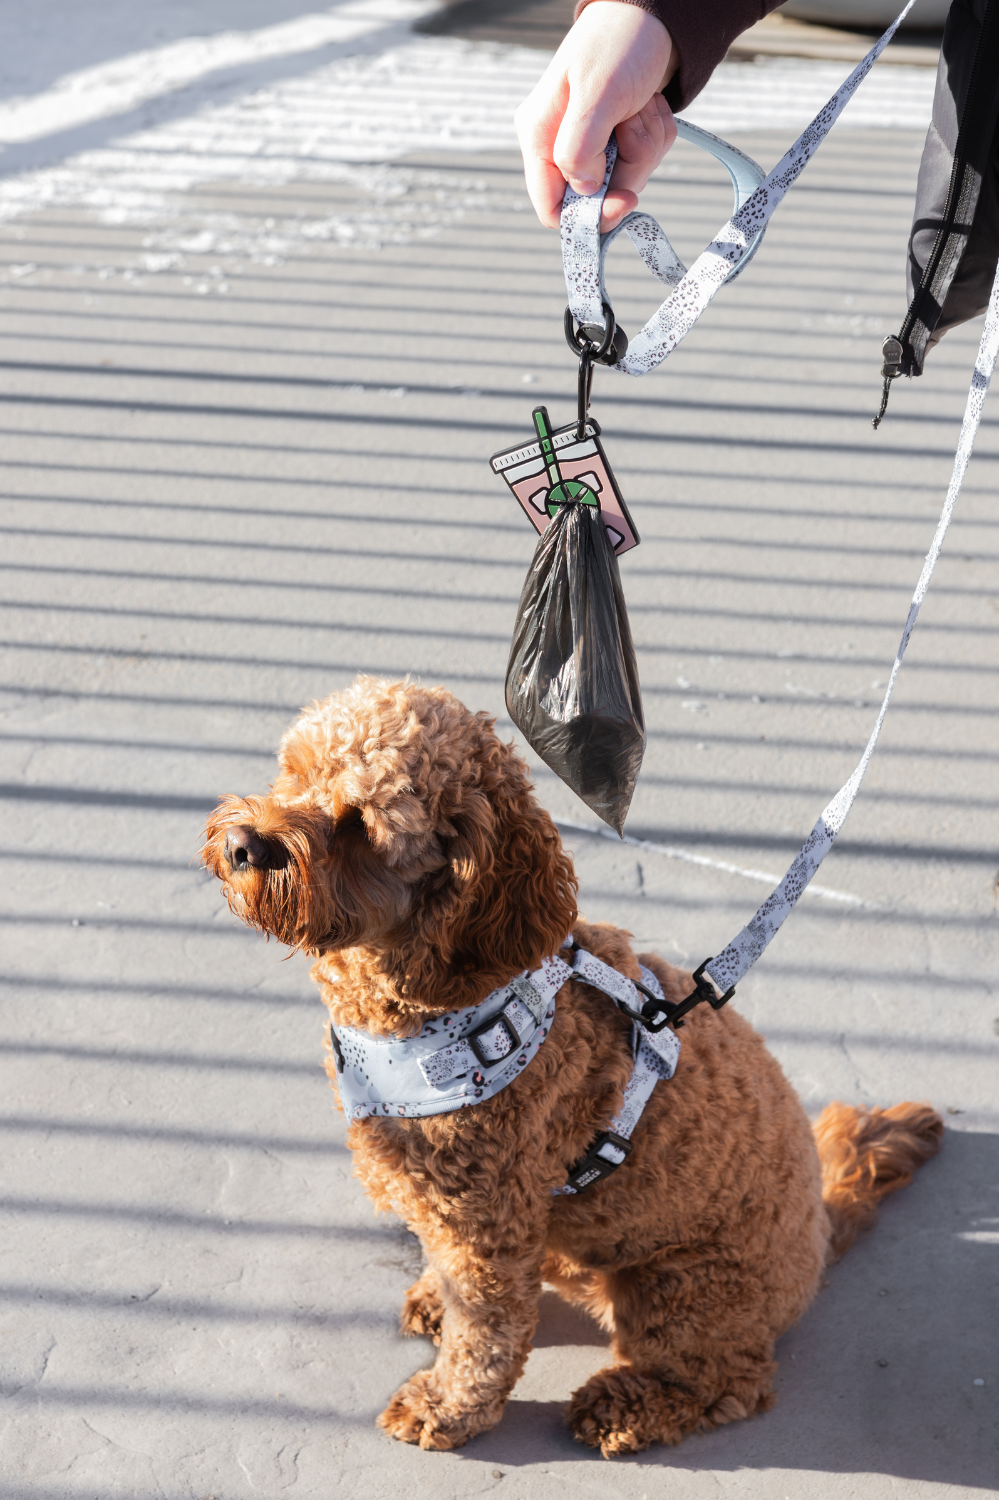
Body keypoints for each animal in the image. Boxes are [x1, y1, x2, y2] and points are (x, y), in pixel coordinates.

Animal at [202, 678, 942, 1452]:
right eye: (293, 774)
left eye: (357, 825)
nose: (243, 845)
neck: (459, 1001)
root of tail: (822, 1230)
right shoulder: (458, 1215)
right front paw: (436, 1300)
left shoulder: (487, 1228)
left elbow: (486, 1337)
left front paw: (447, 1408)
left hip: (682, 1284)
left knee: (728, 1381)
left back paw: (629, 1404)